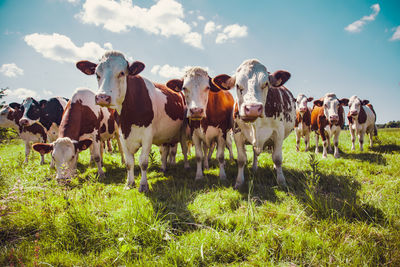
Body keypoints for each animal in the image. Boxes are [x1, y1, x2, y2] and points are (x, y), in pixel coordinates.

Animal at [76, 50, 188, 193]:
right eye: (97, 74)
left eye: (122, 73)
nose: (102, 97)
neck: (128, 118)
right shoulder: (122, 135)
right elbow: (129, 163)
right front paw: (129, 183)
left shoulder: (147, 136)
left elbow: (143, 162)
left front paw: (143, 185)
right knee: (164, 152)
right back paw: (163, 168)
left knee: (180, 150)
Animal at [214, 59, 296, 188]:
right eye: (237, 85)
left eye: (266, 83)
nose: (252, 108)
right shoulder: (237, 134)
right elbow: (241, 159)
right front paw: (239, 182)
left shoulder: (278, 133)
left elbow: (277, 158)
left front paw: (281, 181)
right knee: (255, 152)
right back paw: (254, 167)